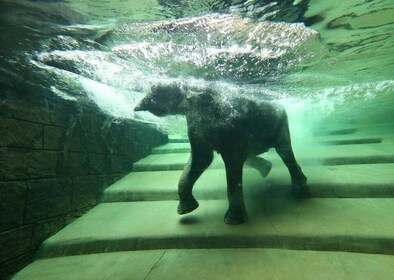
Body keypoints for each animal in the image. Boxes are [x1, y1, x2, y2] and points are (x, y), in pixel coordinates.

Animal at [135, 83, 308, 225]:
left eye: (164, 92)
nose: (137, 107)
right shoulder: (195, 123)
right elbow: (201, 159)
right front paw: (186, 211)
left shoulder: (229, 126)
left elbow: (231, 162)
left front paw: (233, 221)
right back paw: (267, 169)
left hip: (281, 123)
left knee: (284, 151)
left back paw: (299, 187)